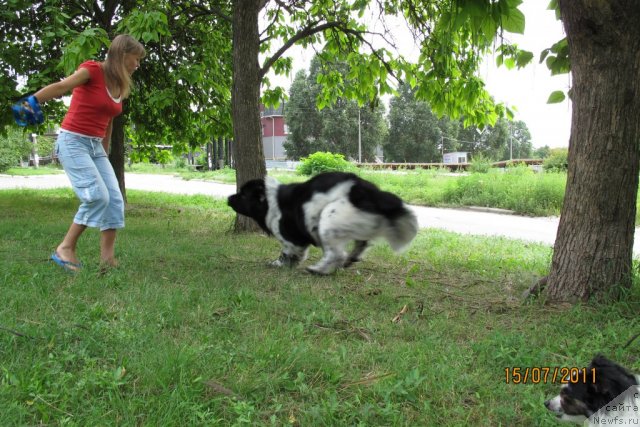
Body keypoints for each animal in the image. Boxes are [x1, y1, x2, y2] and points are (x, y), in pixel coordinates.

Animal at [226, 171, 420, 274]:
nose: (228, 198)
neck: (270, 201)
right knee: (360, 244)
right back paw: (350, 259)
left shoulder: (292, 239)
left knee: (336, 254)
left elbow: (287, 252)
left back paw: (319, 270)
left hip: (328, 220)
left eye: (242, 195)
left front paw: (280, 263)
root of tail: (363, 190)